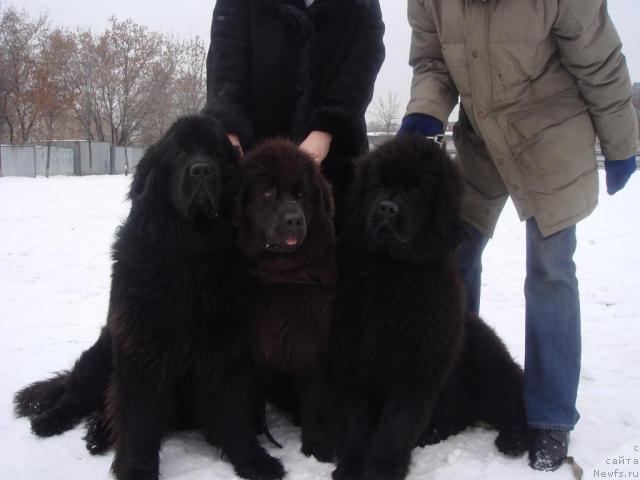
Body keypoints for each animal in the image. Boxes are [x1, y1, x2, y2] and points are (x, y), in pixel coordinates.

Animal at [13, 115, 284, 480]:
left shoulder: (232, 346)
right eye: (180, 153)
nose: (201, 170)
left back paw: (98, 434)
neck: (192, 253)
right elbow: (139, 420)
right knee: (76, 394)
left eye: (217, 153)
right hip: (102, 354)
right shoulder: (141, 346)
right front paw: (137, 469)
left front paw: (253, 460)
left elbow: (234, 410)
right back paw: (51, 421)